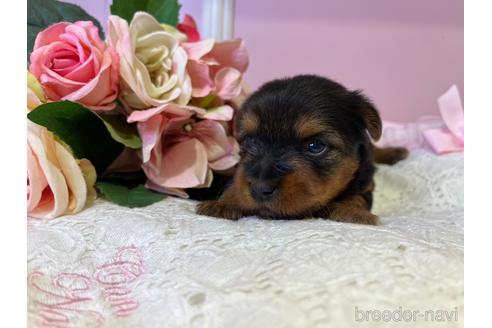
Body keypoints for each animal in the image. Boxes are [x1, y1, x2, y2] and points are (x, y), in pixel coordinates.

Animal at [196, 74, 408, 224]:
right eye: (249, 142)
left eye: (315, 146)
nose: (259, 189)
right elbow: (236, 184)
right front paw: (223, 203)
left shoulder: (365, 182)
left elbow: (356, 196)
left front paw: (351, 212)